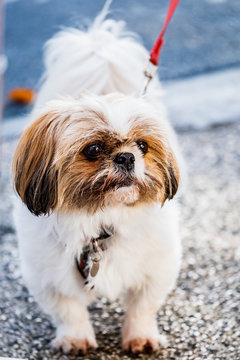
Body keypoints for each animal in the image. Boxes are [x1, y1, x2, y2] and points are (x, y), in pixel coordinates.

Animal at [12, 4, 182, 356]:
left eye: (142, 146)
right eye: (93, 149)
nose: (127, 157)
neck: (102, 217)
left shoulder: (156, 265)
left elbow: (142, 306)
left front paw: (140, 337)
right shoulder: (50, 274)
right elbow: (69, 309)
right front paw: (75, 338)